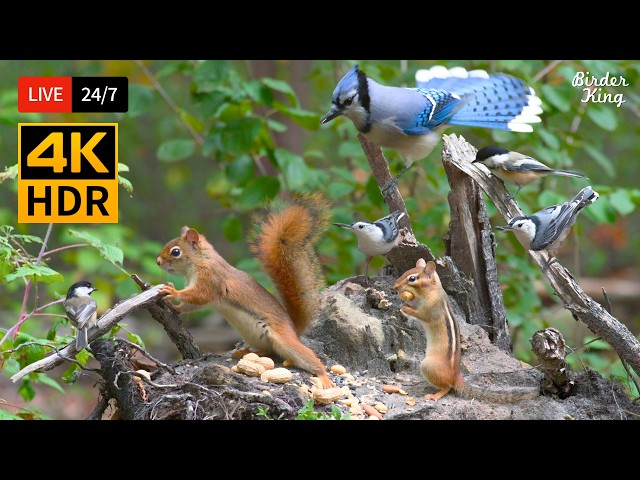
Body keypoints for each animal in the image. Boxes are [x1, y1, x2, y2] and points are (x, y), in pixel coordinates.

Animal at [156, 192, 335, 389]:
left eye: (175, 252)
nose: (158, 261)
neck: (200, 261)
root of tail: (293, 329)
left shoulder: (211, 280)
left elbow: (200, 295)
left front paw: (173, 292)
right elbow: (193, 305)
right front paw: (175, 306)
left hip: (285, 340)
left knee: (307, 357)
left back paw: (324, 378)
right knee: (269, 351)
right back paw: (245, 352)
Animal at [394, 258, 539, 403]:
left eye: (412, 278)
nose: (394, 287)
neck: (430, 291)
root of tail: (456, 376)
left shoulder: (431, 308)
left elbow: (422, 314)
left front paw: (405, 308)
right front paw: (405, 301)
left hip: (428, 366)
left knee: (448, 387)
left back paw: (434, 395)